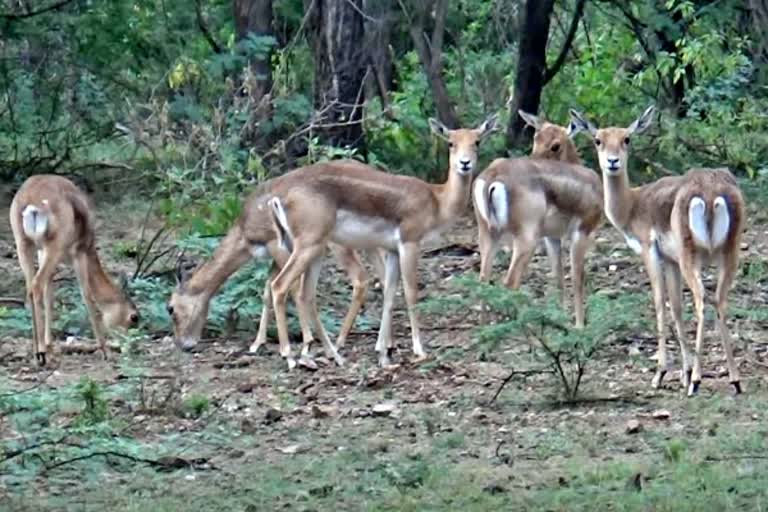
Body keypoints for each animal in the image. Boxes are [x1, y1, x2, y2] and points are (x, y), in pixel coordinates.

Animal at [9, 175, 140, 364]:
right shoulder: (79, 253)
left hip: (24, 244)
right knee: (36, 285)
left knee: (31, 288)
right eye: (134, 317)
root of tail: (31, 204)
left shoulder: (42, 253)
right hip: (53, 246)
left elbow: (50, 296)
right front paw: (105, 351)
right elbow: (87, 295)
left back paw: (37, 351)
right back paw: (41, 354)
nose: (131, 346)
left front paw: (50, 346)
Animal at [266, 115, 498, 368]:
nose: (465, 163)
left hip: (315, 250)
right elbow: (410, 292)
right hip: (308, 246)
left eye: (477, 141)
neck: (436, 200)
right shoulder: (409, 243)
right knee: (279, 286)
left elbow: (389, 294)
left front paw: (383, 353)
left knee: (305, 294)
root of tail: (279, 199)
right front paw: (418, 350)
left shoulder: (392, 250)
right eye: (450, 142)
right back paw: (290, 356)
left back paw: (333, 356)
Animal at [468, 111, 608, 328]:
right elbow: (577, 277)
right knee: (510, 282)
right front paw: (579, 325)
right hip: (526, 240)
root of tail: (492, 177)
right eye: (536, 138)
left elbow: (558, 277)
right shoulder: (581, 232)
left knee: (483, 278)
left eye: (555, 144)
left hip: (489, 234)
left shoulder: (552, 237)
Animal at [568, 105, 744, 396]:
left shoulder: (650, 251)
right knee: (719, 300)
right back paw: (734, 380)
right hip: (728, 253)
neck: (633, 204)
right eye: (598, 139)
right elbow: (676, 307)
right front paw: (683, 373)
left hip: (691, 256)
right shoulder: (671, 261)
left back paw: (697, 382)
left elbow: (660, 303)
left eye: (627, 138)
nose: (612, 162)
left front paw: (662, 374)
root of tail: (711, 193)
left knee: (702, 300)